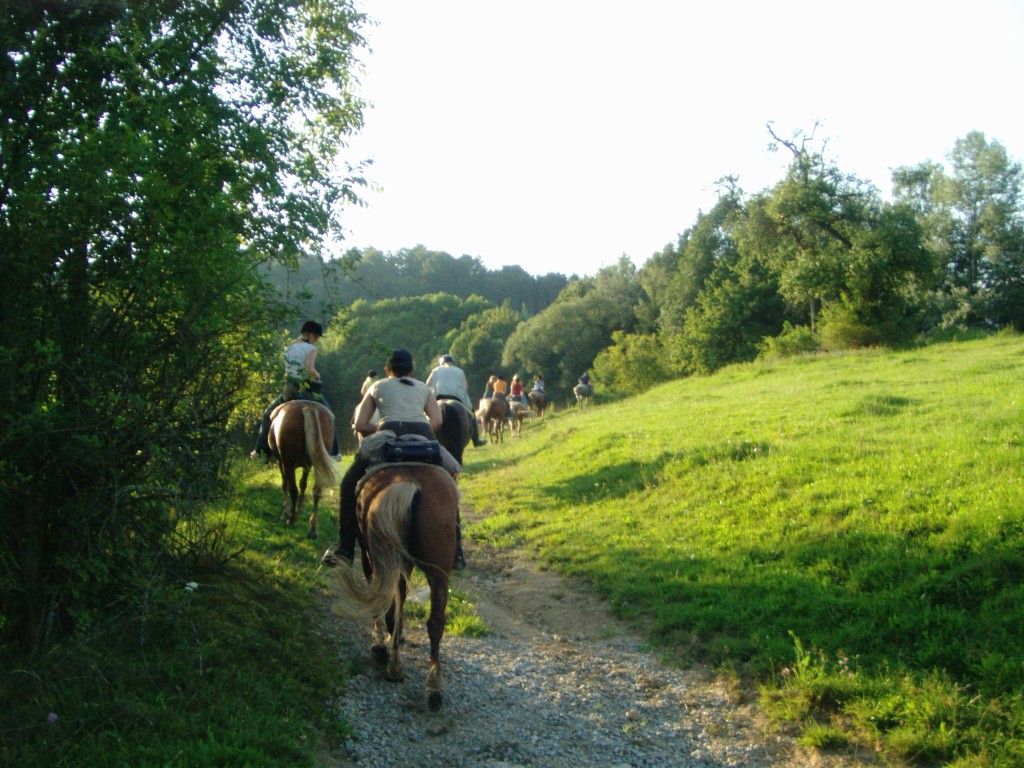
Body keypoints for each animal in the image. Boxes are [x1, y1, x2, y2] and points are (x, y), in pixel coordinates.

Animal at [268, 399, 339, 536]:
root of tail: (307, 407)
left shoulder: (282, 463)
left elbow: (286, 485)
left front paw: (286, 512)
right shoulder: (307, 466)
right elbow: (303, 484)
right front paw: (300, 508)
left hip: (288, 463)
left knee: (293, 490)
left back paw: (292, 520)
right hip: (316, 464)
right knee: (317, 491)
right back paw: (312, 528)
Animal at [331, 462, 460, 716]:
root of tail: (408, 485)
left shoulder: (370, 557)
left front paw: (381, 643)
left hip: (383, 557)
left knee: (387, 605)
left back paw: (392, 664)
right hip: (438, 572)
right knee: (435, 622)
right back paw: (433, 689)